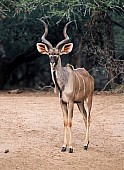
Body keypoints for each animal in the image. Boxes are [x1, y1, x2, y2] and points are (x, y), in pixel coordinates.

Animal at [36, 19, 94, 153]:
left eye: (58, 54)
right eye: (49, 54)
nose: (52, 62)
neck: (62, 84)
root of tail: (90, 76)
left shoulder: (71, 102)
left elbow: (70, 122)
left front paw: (71, 148)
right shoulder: (62, 102)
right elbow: (65, 121)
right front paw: (63, 146)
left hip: (88, 99)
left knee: (88, 118)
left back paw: (85, 144)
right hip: (80, 102)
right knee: (84, 117)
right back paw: (86, 143)